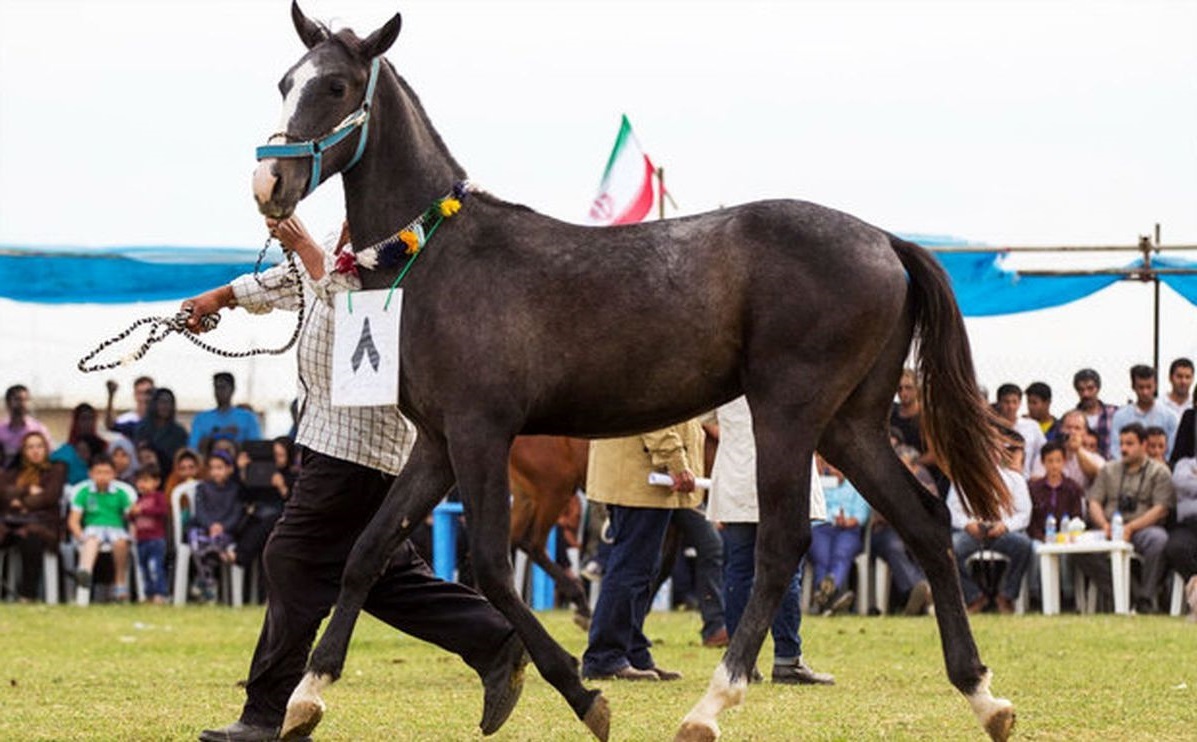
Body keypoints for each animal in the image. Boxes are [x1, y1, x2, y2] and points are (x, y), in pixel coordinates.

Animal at [252, 2, 1019, 737]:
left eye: (336, 85)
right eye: (286, 81)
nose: (269, 182)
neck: (437, 250)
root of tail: (886, 241)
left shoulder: (479, 433)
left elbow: (494, 568)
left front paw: (580, 693)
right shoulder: (438, 443)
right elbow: (367, 551)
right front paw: (305, 697)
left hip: (789, 411)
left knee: (781, 544)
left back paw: (712, 704)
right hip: (849, 424)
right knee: (924, 521)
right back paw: (983, 695)